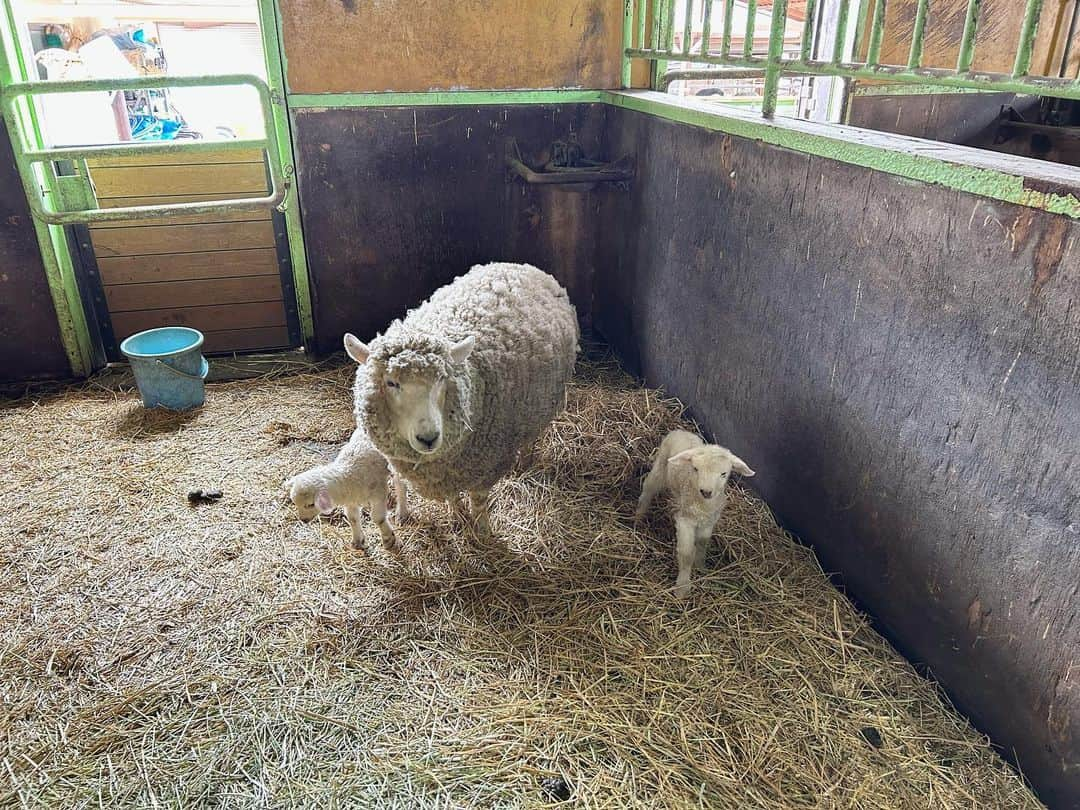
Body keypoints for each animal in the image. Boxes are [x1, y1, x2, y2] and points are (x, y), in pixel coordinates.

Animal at [345, 263, 583, 535]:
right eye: (391, 383)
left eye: (441, 379)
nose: (428, 438)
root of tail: (519, 266)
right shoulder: (449, 471)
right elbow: (453, 495)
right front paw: (457, 516)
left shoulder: (486, 463)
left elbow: (478, 500)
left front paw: (482, 531)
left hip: (538, 408)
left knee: (530, 437)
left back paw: (524, 461)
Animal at [635, 432, 756, 596]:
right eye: (696, 469)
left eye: (724, 474)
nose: (706, 492)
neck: (703, 505)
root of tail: (682, 431)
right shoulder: (685, 521)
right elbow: (686, 554)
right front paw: (683, 587)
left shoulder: (709, 522)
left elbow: (702, 544)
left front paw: (701, 567)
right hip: (660, 465)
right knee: (649, 488)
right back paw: (638, 517)